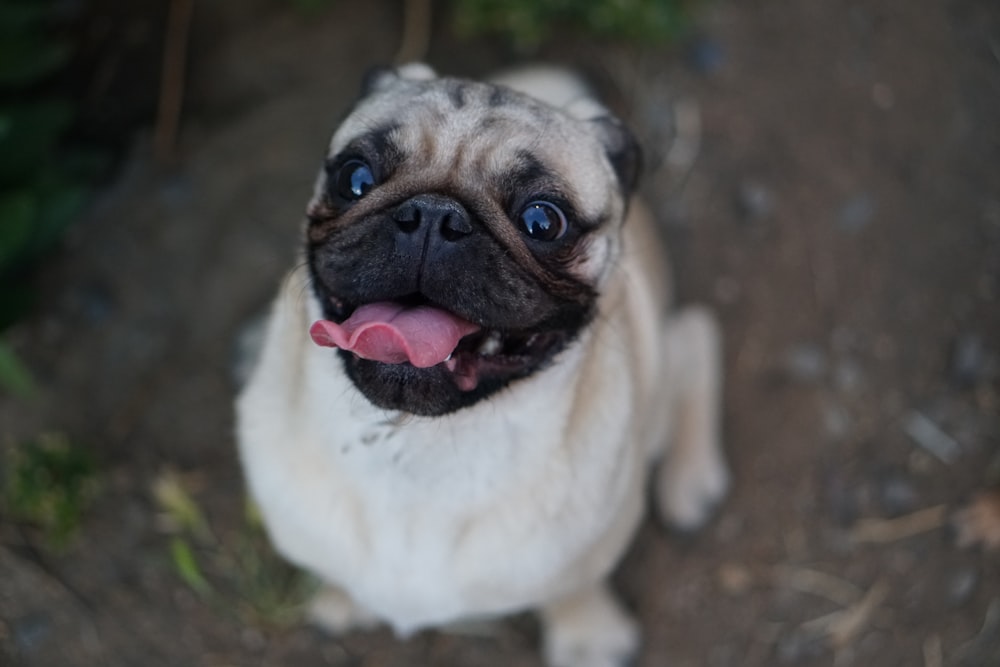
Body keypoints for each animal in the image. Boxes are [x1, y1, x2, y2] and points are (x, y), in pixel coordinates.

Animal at [238, 64, 732, 667]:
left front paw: (587, 635)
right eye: (355, 179)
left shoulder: (584, 549)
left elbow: (574, 585)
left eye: (543, 221)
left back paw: (691, 481)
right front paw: (341, 598)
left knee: (697, 338)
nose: (434, 215)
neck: (418, 446)